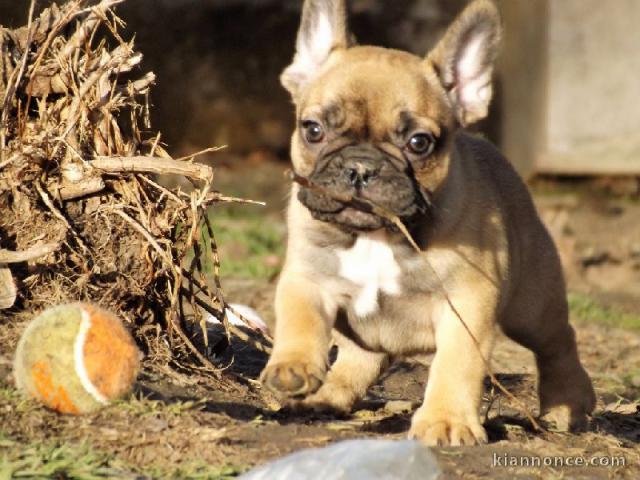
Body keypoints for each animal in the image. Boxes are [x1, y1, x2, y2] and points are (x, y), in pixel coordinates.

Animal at [258, 0, 596, 446]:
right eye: (312, 130)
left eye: (419, 143)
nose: (360, 167)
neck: (377, 236)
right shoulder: (307, 276)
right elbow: (299, 316)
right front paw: (292, 366)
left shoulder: (467, 304)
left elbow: (457, 364)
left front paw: (447, 421)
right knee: (361, 354)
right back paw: (329, 393)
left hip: (531, 304)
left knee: (558, 341)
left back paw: (566, 404)